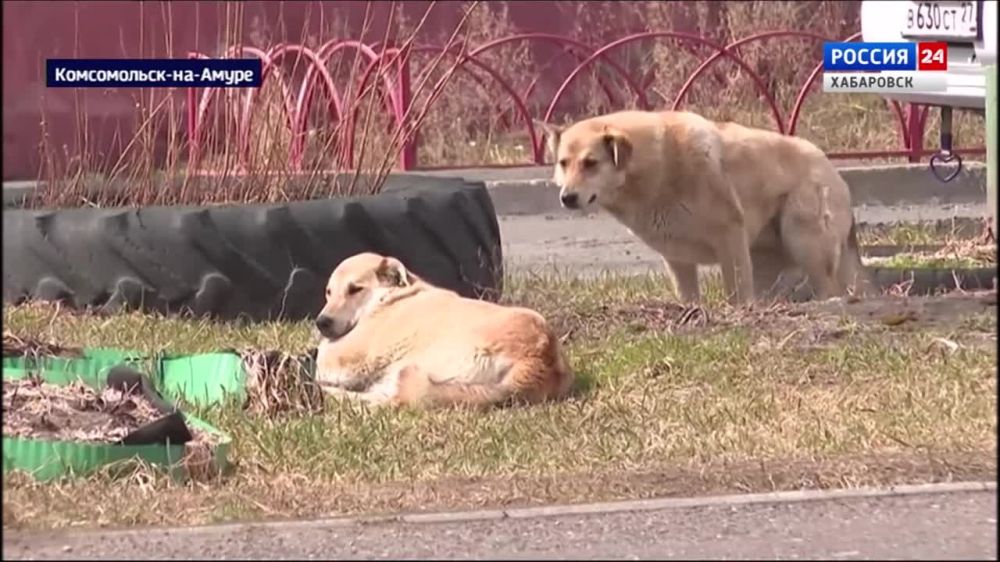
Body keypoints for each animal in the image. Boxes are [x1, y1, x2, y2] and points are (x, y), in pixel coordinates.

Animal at [312, 253, 580, 406]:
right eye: (328, 292)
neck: (394, 296)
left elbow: (321, 357)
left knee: (392, 401)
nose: (322, 322)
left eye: (355, 289)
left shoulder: (343, 356)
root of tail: (538, 359)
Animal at [536, 109, 872, 302]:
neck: (657, 169)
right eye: (563, 163)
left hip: (802, 240)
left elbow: (736, 295)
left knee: (831, 289)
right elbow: (689, 300)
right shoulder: (676, 258)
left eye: (591, 163)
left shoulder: (729, 238)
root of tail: (834, 173)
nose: (567, 198)